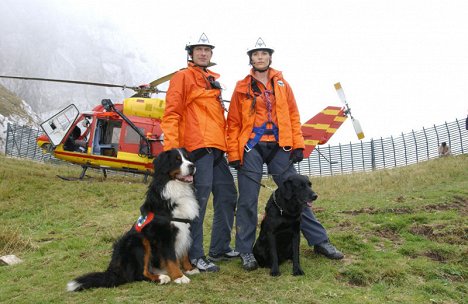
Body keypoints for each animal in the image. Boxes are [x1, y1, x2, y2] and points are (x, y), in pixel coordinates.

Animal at [66, 148, 199, 290]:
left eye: (188, 158)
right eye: (177, 160)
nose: (192, 166)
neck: (176, 189)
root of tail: (115, 267)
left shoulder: (185, 227)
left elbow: (185, 253)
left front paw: (190, 269)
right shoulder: (165, 235)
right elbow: (171, 258)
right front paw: (179, 277)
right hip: (138, 240)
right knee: (139, 274)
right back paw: (161, 278)